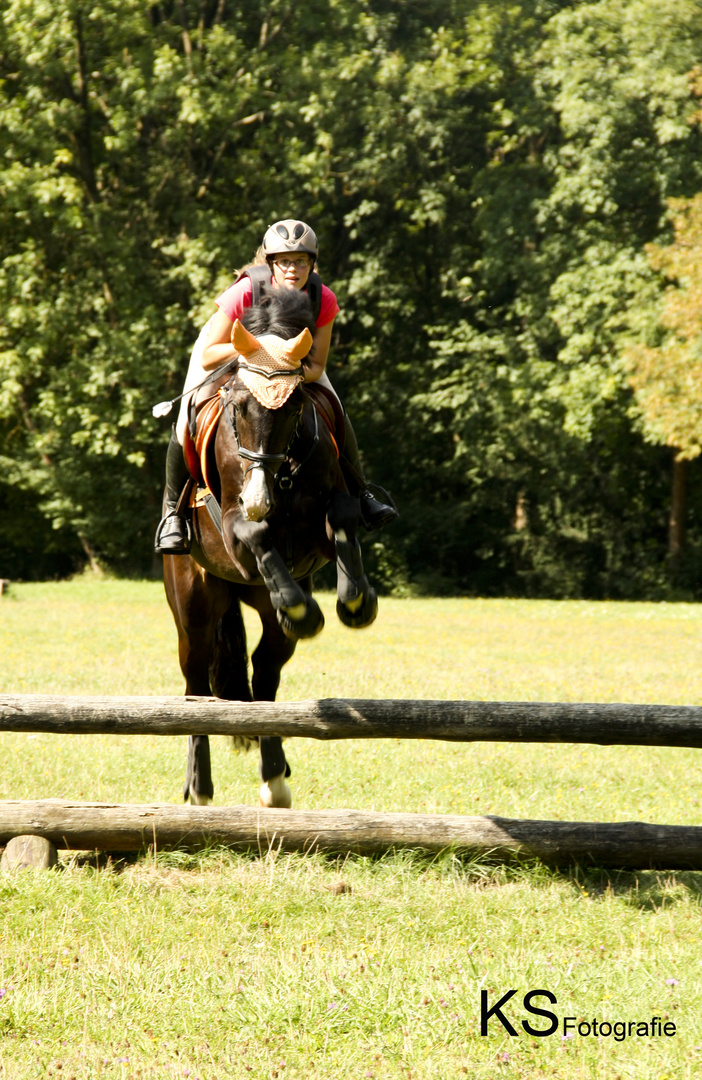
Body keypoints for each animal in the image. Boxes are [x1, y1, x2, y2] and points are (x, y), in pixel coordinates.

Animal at [162, 287, 378, 812]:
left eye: (296, 406)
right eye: (238, 406)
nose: (259, 498)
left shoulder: (325, 514)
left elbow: (344, 514)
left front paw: (354, 603)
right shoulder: (236, 528)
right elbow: (256, 535)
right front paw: (304, 608)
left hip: (262, 616)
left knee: (264, 675)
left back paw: (275, 778)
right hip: (194, 609)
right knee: (195, 685)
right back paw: (199, 788)